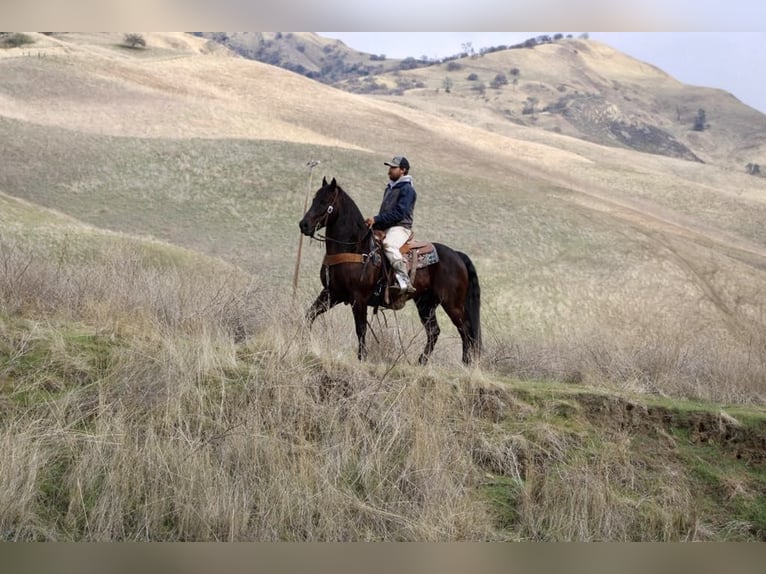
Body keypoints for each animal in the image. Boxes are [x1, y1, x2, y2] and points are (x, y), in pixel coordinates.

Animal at [298, 177, 484, 364]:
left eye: (325, 202)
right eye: (314, 199)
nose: (303, 225)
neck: (355, 247)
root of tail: (457, 255)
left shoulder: (359, 298)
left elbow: (361, 328)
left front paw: (362, 357)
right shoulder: (332, 293)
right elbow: (309, 315)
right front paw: (304, 342)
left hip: (452, 303)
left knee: (466, 330)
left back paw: (465, 363)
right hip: (425, 303)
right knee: (434, 331)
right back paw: (421, 362)